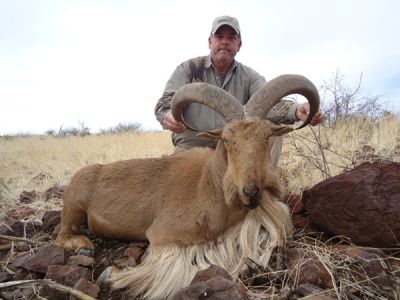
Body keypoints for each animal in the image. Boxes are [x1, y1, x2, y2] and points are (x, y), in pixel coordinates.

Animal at [55, 74, 318, 298]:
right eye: (226, 140)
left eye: (265, 137)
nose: (250, 191)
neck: (210, 182)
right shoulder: (163, 236)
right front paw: (112, 274)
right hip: (74, 208)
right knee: (63, 234)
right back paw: (84, 247)